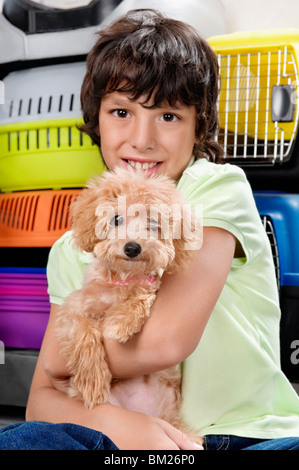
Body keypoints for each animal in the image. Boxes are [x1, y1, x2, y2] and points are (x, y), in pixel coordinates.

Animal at [55, 169, 203, 440]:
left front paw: (118, 324)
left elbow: (141, 297)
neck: (122, 279)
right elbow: (84, 334)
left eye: (153, 224)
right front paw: (93, 383)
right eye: (116, 219)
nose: (132, 247)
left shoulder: (149, 286)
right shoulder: (74, 308)